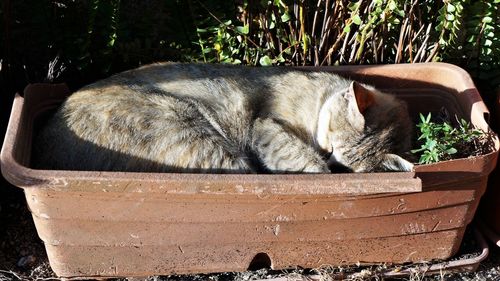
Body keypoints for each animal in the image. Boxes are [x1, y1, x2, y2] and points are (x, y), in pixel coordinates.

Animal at [32, 61, 414, 173]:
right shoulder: (266, 126)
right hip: (197, 135)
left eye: (343, 159)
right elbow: (301, 161)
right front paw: (316, 166)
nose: (329, 159)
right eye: (331, 145)